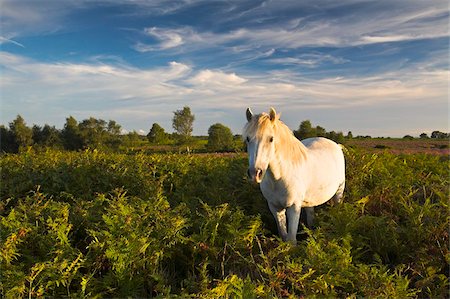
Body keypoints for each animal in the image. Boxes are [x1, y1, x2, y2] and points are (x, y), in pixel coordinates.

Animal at [243, 108, 344, 244]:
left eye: (271, 139)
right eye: (248, 139)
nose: (255, 173)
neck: (279, 178)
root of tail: (336, 145)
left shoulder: (294, 207)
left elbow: (291, 240)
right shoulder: (275, 207)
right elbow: (283, 235)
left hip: (339, 193)